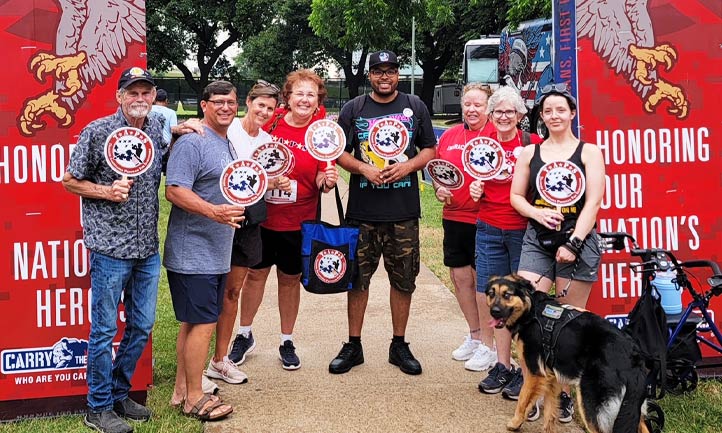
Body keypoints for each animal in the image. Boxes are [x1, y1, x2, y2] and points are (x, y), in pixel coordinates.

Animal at [484, 276, 648, 430]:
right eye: (491, 294)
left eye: (507, 295)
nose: (494, 312)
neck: (530, 310)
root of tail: (633, 355)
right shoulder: (551, 376)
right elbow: (550, 412)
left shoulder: (535, 373)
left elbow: (523, 399)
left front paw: (515, 423)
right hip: (628, 409)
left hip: (591, 403)